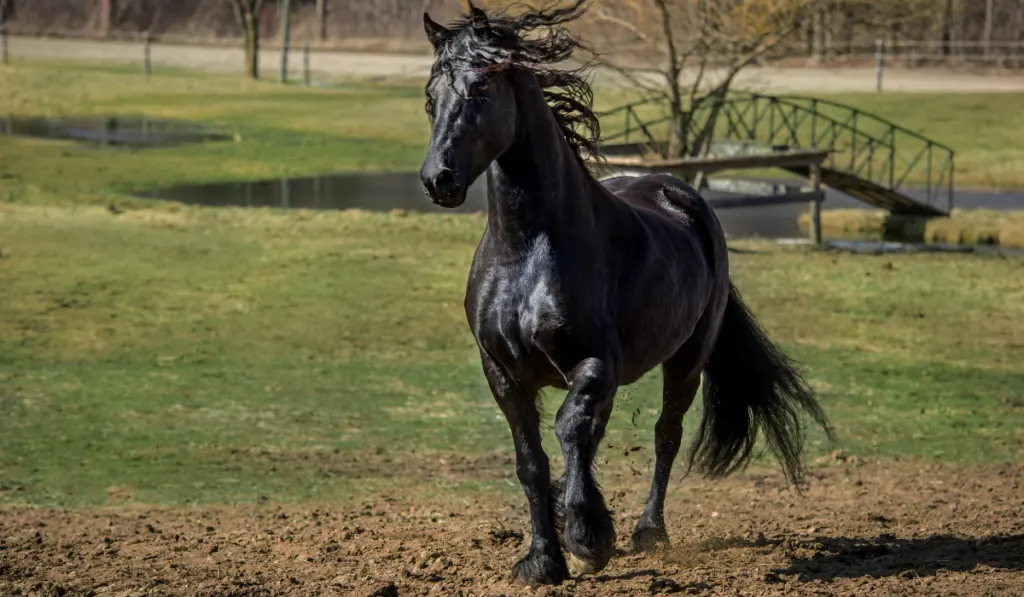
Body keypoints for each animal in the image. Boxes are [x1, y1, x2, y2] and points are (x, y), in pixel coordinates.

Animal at [415, 1, 831, 589]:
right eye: (431, 95)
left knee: (664, 435)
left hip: (686, 360)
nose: (439, 180)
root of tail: (680, 193)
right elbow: (532, 461)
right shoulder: (503, 372)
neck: (527, 251)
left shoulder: (595, 363)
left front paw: (589, 539)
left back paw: (646, 531)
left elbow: (569, 430)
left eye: (478, 89)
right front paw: (543, 559)